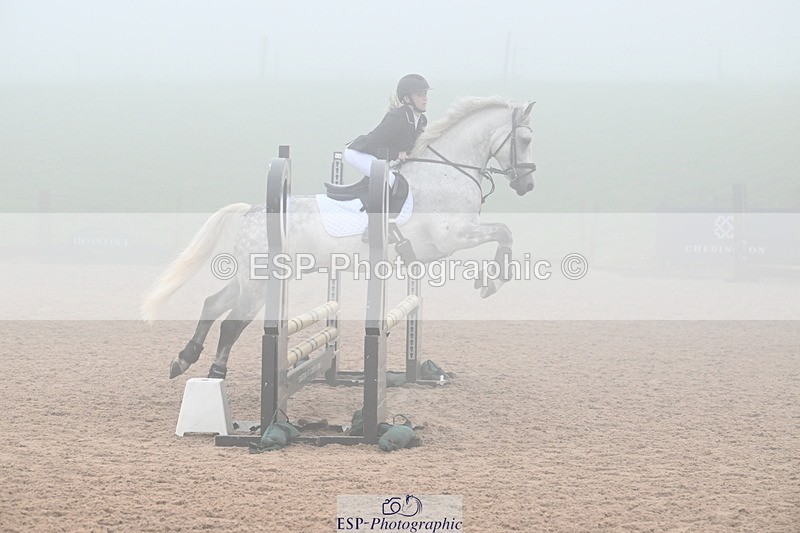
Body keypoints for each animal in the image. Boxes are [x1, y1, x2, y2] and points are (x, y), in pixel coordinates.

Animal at [142, 96, 537, 379]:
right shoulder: (451, 236)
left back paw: (183, 359)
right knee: (231, 323)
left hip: (250, 278)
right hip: (259, 281)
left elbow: (504, 234)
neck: (448, 172)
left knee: (212, 304)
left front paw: (492, 278)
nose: (528, 185)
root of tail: (252, 210)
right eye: (524, 139)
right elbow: (504, 233)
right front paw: (492, 281)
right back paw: (215, 372)